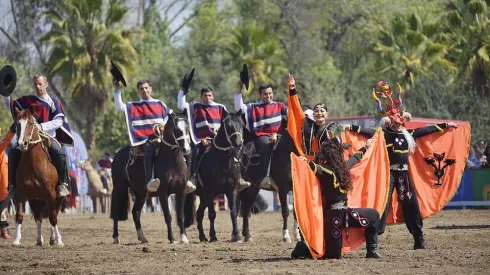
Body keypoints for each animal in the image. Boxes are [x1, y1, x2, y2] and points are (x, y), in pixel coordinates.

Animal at [12, 109, 64, 247]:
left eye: (31, 123)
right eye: (17, 124)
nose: (22, 143)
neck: (34, 164)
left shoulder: (51, 195)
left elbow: (53, 218)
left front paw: (59, 240)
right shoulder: (21, 193)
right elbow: (20, 215)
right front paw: (16, 240)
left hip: (58, 198)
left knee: (53, 213)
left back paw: (53, 238)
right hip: (35, 199)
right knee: (38, 217)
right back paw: (39, 239)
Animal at [109, 114, 191, 246]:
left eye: (187, 128)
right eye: (177, 130)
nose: (186, 149)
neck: (174, 163)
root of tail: (117, 156)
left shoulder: (181, 192)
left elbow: (180, 215)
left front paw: (184, 238)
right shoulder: (163, 193)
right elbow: (168, 216)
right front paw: (172, 238)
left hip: (141, 194)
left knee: (135, 212)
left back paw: (143, 237)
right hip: (120, 188)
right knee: (117, 211)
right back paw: (116, 237)